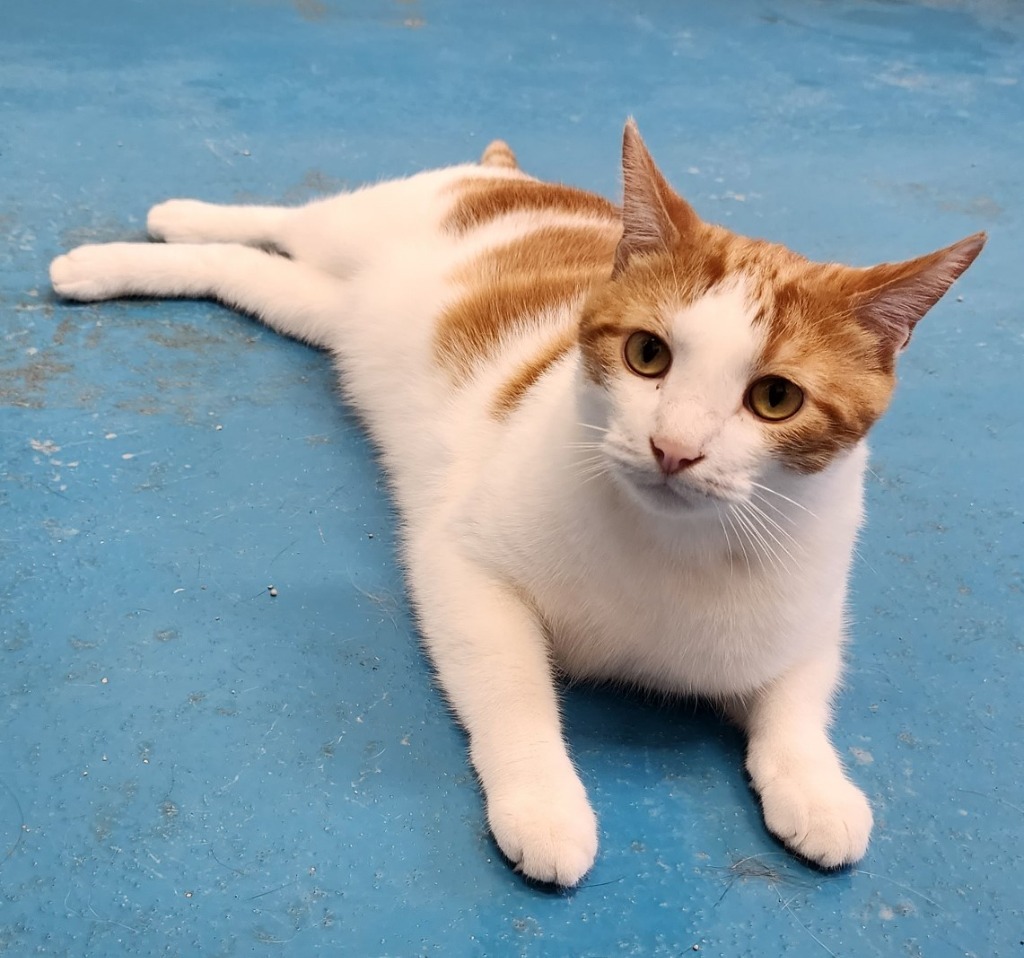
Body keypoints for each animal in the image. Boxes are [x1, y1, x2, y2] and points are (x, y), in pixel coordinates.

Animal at [48, 119, 983, 884]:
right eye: (648, 355)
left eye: (776, 399)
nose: (673, 448)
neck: (673, 549)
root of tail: (519, 175)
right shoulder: (463, 567)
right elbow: (515, 689)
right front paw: (545, 803)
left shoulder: (808, 616)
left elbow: (797, 702)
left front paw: (815, 786)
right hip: (369, 220)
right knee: (277, 222)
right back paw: (149, 231)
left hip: (324, 310)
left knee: (244, 270)